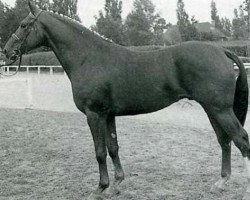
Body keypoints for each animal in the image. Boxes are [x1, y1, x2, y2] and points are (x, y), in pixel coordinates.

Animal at [2, 1, 250, 198]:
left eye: (23, 25)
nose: (6, 52)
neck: (89, 58)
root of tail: (221, 51)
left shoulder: (94, 114)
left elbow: (99, 152)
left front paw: (100, 188)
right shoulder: (108, 115)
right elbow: (113, 148)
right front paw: (116, 184)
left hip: (220, 109)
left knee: (241, 139)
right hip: (212, 109)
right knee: (225, 140)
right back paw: (221, 182)